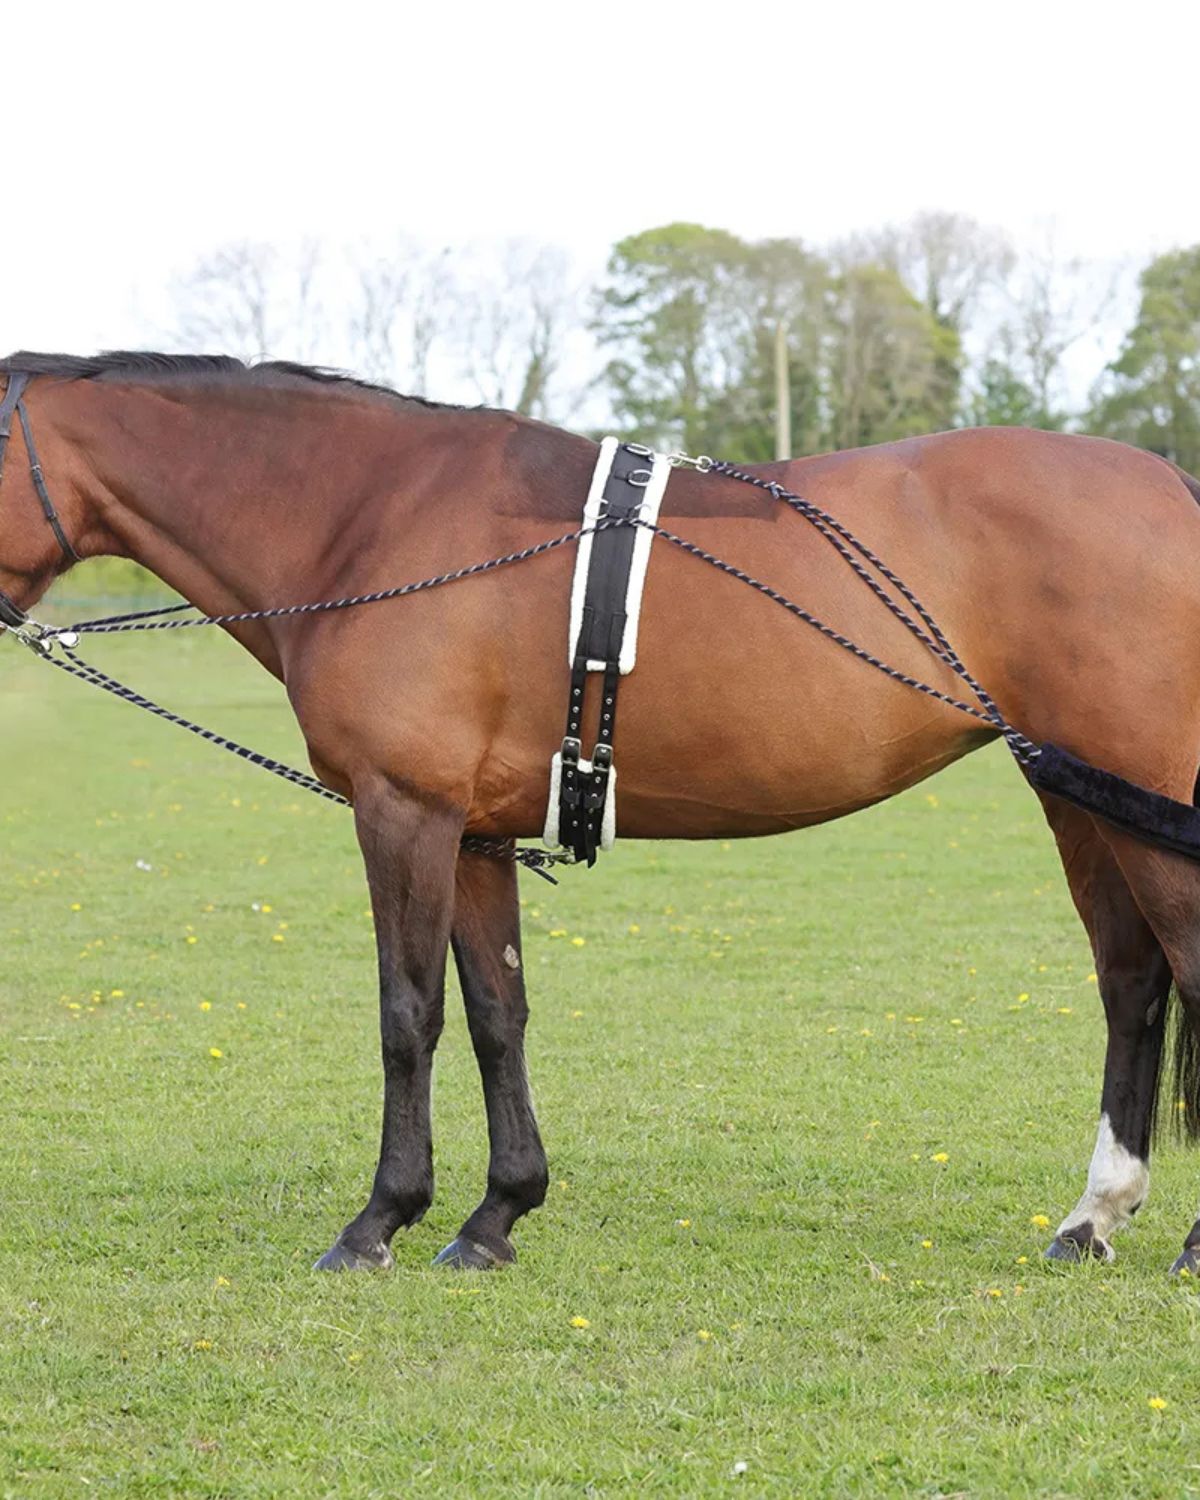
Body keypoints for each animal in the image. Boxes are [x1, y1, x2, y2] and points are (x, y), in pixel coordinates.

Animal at [4, 349, 1200, 1277]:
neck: (369, 518)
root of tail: (1175, 488)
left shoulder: (404, 813)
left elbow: (409, 1013)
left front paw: (380, 1220)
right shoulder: (473, 831)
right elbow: (496, 1012)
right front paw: (496, 1213)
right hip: (1080, 798)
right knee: (1132, 982)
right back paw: (1094, 1214)